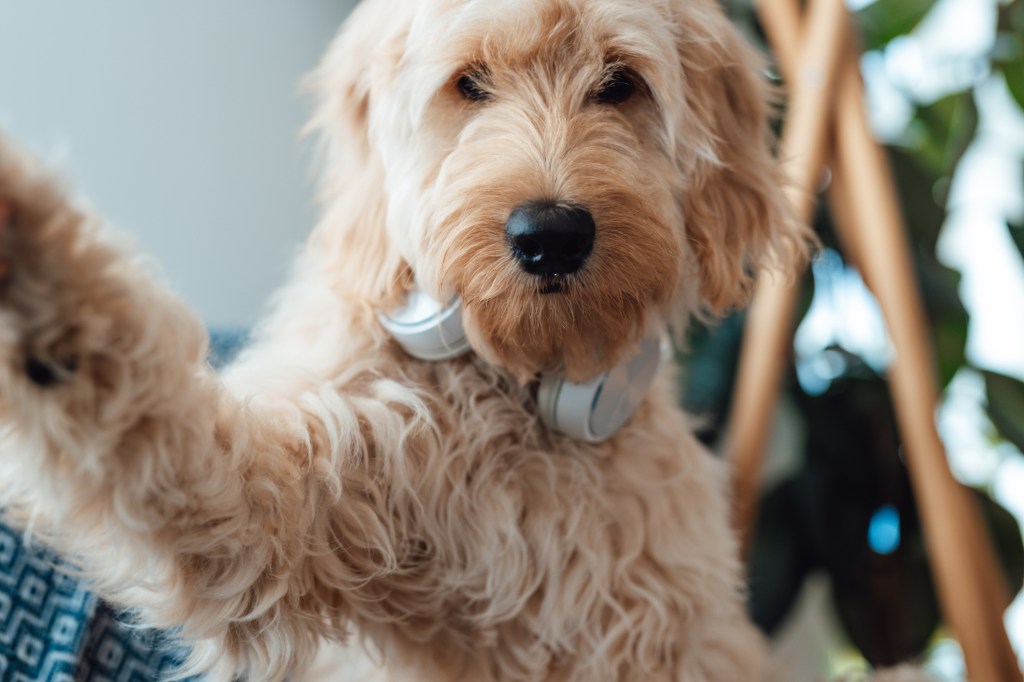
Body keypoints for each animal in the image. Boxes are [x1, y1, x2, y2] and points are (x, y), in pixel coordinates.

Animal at [0, 0, 913, 675]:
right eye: (470, 83)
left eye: (619, 82)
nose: (550, 236)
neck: (523, 396)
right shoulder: (277, 507)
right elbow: (167, 438)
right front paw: (35, 261)